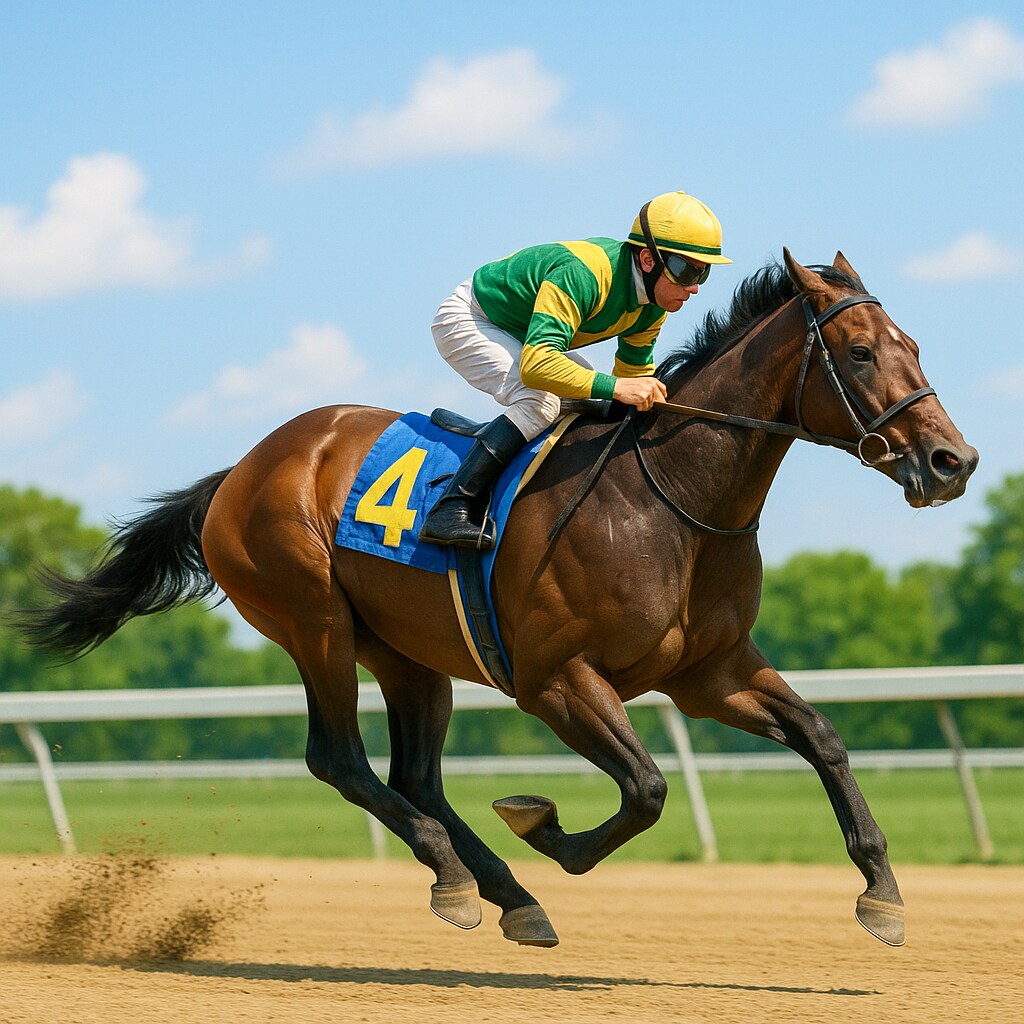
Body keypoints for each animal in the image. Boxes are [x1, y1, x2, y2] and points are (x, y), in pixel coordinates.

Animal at [18, 250, 977, 949]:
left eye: (917, 346)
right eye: (860, 352)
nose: (952, 462)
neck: (669, 499)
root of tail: (242, 470)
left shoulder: (710, 672)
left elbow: (822, 738)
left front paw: (883, 892)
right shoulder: (554, 679)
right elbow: (646, 789)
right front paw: (541, 824)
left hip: (407, 653)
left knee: (412, 776)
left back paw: (509, 896)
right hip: (313, 621)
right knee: (339, 760)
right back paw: (454, 877)